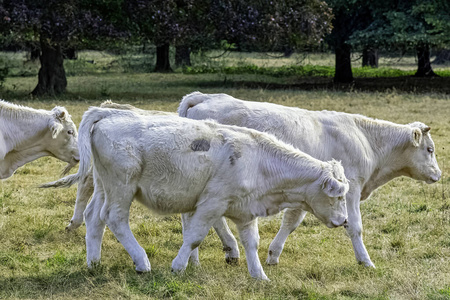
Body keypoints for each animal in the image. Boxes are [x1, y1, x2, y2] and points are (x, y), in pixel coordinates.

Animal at [74, 106, 350, 280]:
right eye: (338, 196)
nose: (344, 220)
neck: (259, 161)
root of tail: (109, 113)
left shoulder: (246, 211)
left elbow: (252, 242)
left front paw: (259, 275)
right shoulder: (212, 204)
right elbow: (194, 237)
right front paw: (178, 266)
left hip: (104, 186)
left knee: (94, 217)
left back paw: (94, 263)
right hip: (122, 187)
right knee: (115, 218)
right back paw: (142, 262)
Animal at [178, 91, 442, 268]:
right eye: (430, 149)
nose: (439, 174)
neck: (366, 140)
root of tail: (203, 97)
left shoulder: (309, 190)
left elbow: (291, 222)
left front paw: (273, 254)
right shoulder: (350, 189)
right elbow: (355, 227)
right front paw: (365, 261)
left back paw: (225, 251)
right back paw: (210, 254)